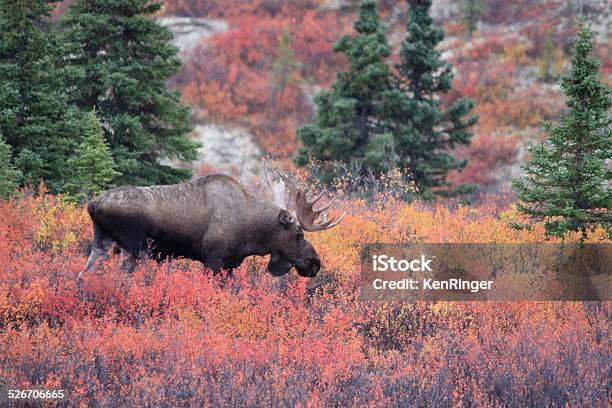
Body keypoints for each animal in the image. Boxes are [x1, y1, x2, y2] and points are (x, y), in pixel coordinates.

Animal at [84, 165, 346, 278]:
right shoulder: (214, 260)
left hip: (101, 243)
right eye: (299, 234)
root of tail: (93, 204)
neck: (253, 236)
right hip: (134, 247)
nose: (315, 263)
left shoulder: (230, 264)